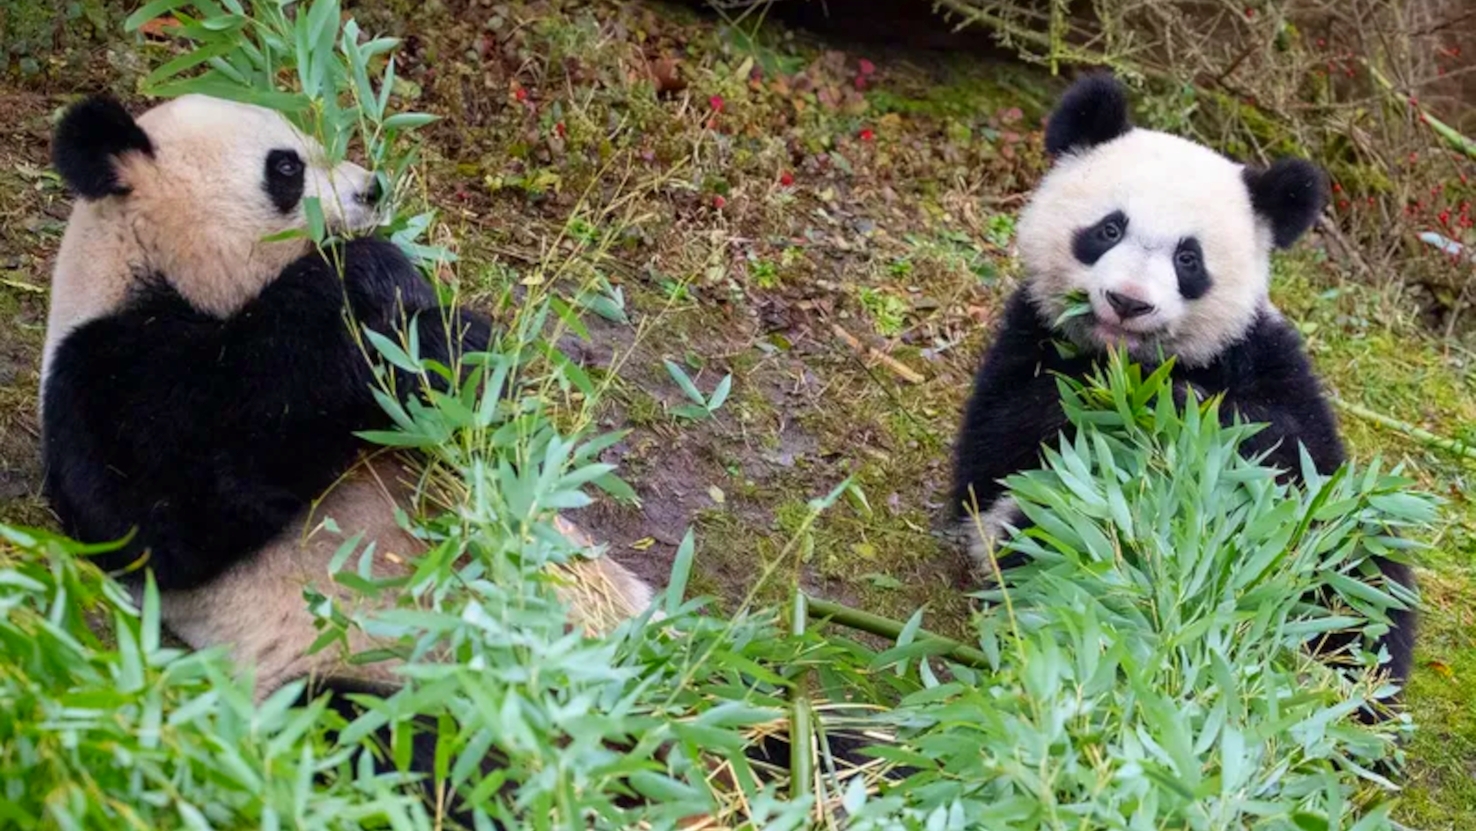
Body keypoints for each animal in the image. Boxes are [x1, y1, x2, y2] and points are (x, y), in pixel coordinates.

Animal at [944, 73, 1416, 714]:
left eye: (1188, 258)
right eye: (1109, 229)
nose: (1128, 301)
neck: (1131, 361)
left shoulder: (1264, 354)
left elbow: (1295, 447)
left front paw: (1189, 410)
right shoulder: (1027, 338)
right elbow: (993, 452)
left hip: (1330, 557)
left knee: (1363, 595)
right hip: (1061, 541)